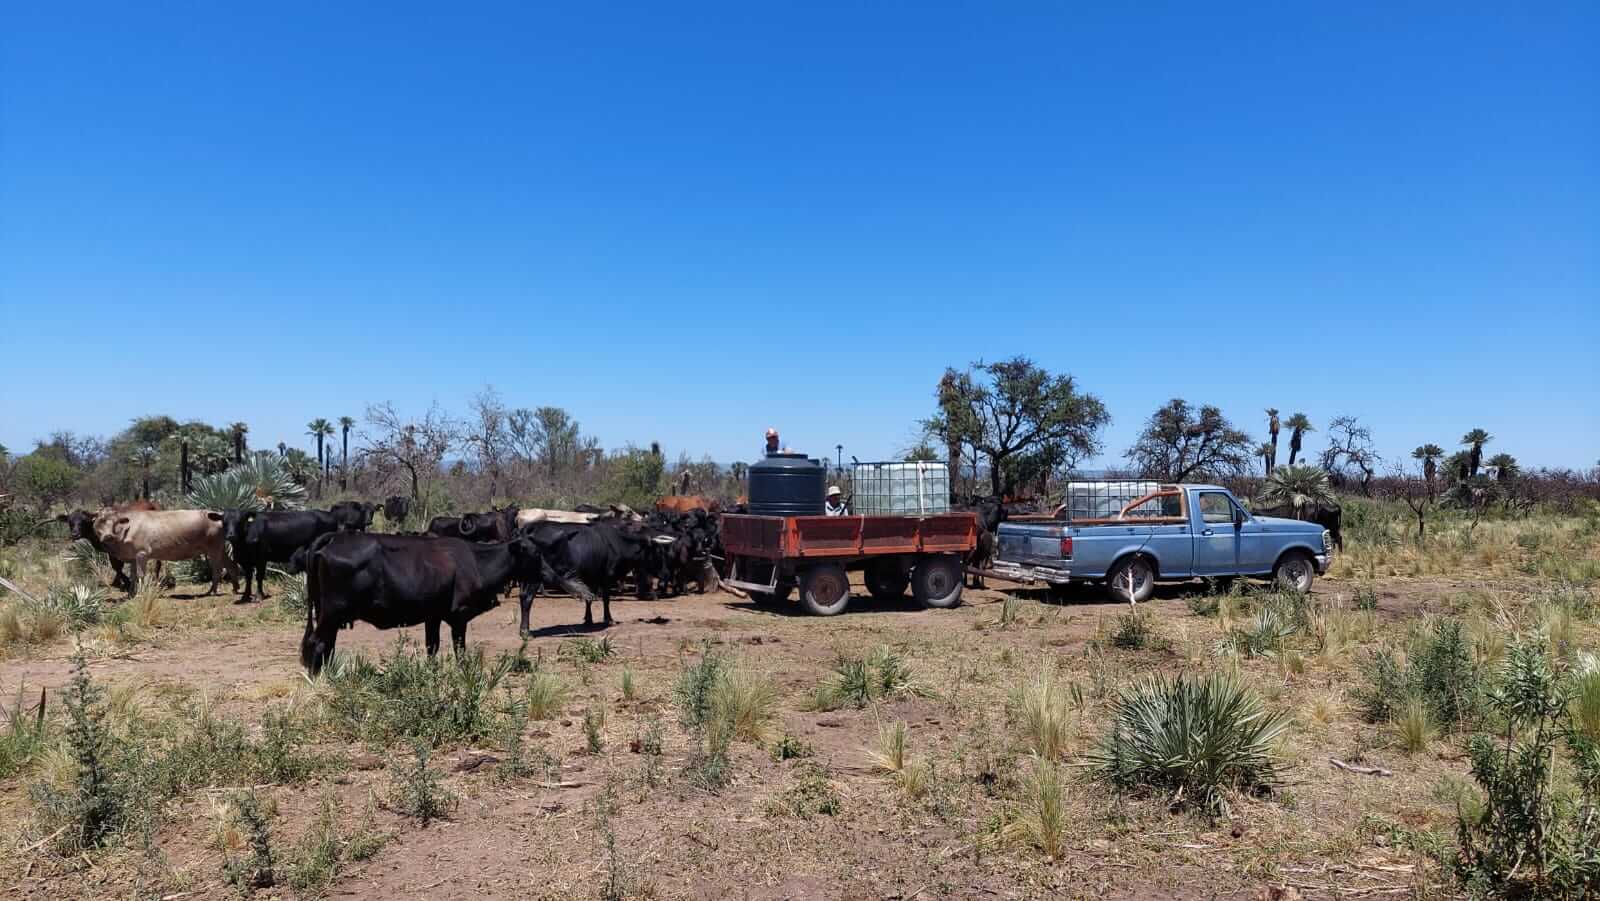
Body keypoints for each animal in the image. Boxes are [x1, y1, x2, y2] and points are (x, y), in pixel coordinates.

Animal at [91, 512, 240, 595]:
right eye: (97, 525)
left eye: (115, 523)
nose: (108, 536)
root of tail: (219, 515)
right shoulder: (133, 557)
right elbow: (133, 576)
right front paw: (131, 593)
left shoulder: (142, 553)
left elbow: (140, 575)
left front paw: (140, 593)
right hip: (218, 548)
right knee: (231, 565)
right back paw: (235, 588)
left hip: (214, 548)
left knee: (217, 568)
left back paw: (212, 591)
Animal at [300, 531, 544, 672]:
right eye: (534, 553)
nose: (546, 573)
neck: (477, 561)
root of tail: (335, 538)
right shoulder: (459, 615)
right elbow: (460, 650)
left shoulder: (433, 616)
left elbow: (432, 647)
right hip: (333, 612)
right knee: (317, 643)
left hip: (328, 614)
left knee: (327, 644)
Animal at [521, 524, 678, 630]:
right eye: (658, 552)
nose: (666, 574)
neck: (616, 544)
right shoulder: (606, 578)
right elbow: (606, 599)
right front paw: (608, 619)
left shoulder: (592, 578)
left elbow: (589, 599)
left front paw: (588, 619)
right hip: (535, 577)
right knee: (527, 599)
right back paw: (525, 630)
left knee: (523, 597)